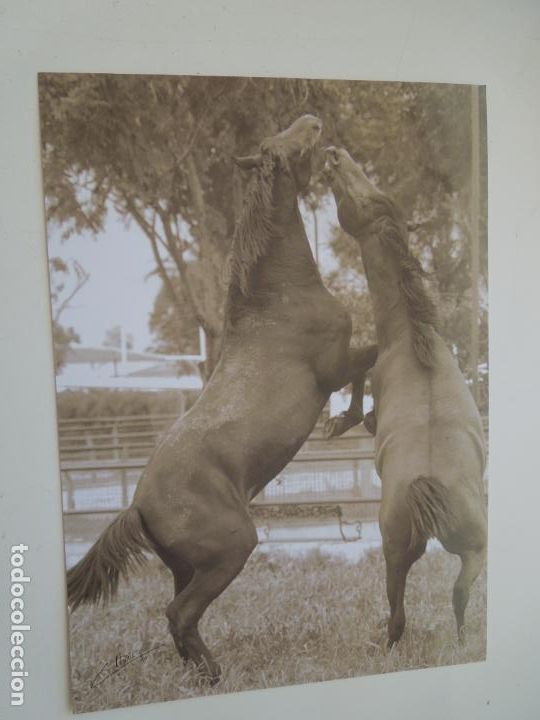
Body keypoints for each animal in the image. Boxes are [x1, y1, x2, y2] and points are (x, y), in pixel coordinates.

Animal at [66, 116, 377, 683]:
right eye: (289, 145)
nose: (312, 121)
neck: (279, 299)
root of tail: (139, 506)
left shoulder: (340, 362)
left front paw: (345, 421)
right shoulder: (335, 366)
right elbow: (371, 362)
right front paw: (347, 421)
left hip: (189, 566)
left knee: (181, 617)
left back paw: (201, 674)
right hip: (232, 549)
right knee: (179, 614)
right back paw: (214, 676)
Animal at [324, 145, 487, 646]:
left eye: (364, 195)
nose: (334, 155)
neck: (415, 340)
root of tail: (427, 485)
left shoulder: (378, 374)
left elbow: (362, 384)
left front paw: (338, 421)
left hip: (394, 550)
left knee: (398, 612)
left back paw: (389, 640)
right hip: (472, 549)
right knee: (459, 592)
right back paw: (460, 641)